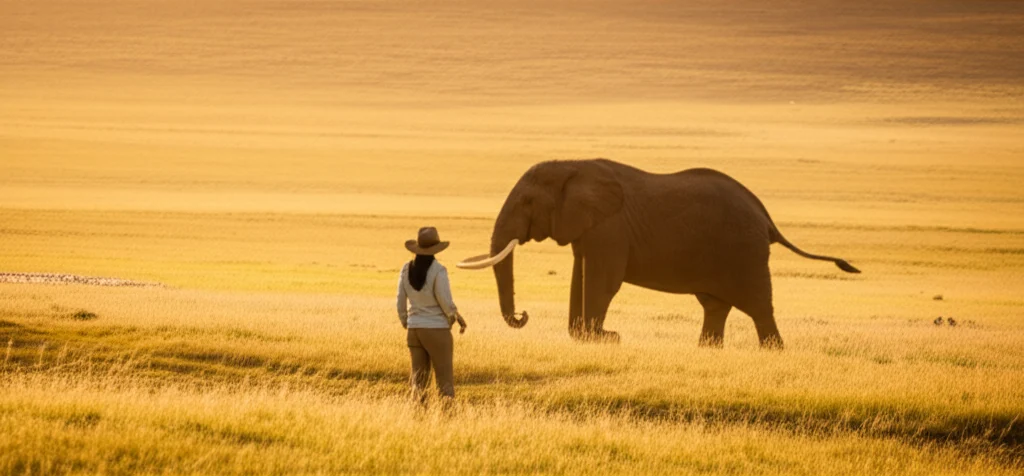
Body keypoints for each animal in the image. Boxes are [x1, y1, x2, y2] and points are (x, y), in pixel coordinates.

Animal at [458, 159, 860, 348]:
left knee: (759, 306)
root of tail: (766, 216)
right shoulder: (589, 228)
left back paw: (772, 352)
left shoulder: (610, 227)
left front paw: (606, 338)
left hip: (745, 251)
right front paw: (593, 338)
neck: (573, 164)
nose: (523, 315)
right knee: (715, 306)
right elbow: (581, 274)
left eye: (527, 202)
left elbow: (603, 280)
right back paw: (708, 351)